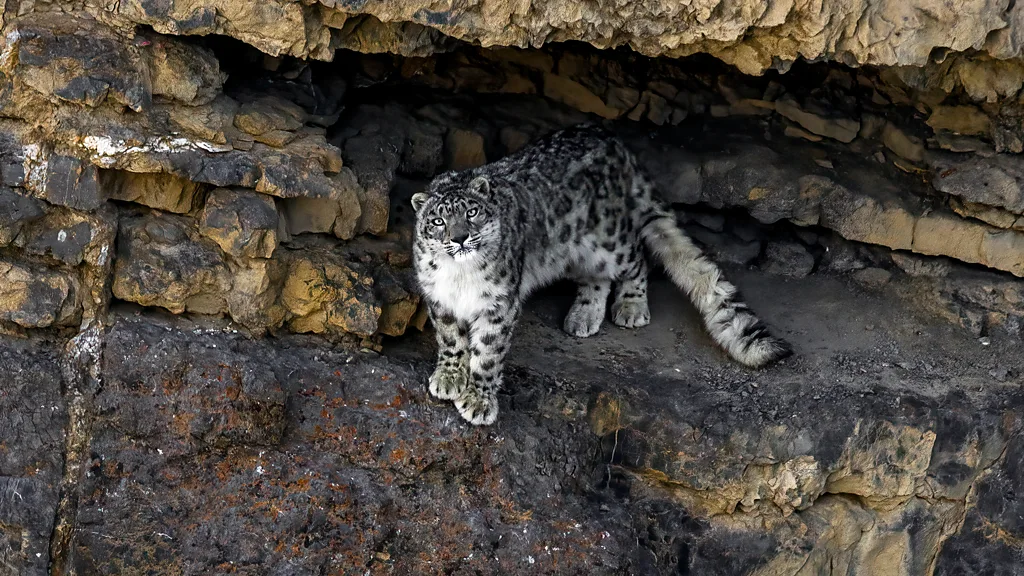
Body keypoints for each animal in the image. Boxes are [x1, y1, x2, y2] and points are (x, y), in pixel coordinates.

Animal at [409, 123, 790, 424]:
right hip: (577, 250)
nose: (460, 238)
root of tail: (608, 136)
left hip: (610, 242)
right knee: (596, 278)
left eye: (472, 212)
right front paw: (448, 378)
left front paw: (478, 401)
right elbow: (451, 341)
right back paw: (584, 315)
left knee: (637, 256)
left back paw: (631, 307)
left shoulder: (498, 304)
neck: (459, 277)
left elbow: (487, 354)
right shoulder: (439, 298)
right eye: (438, 220)